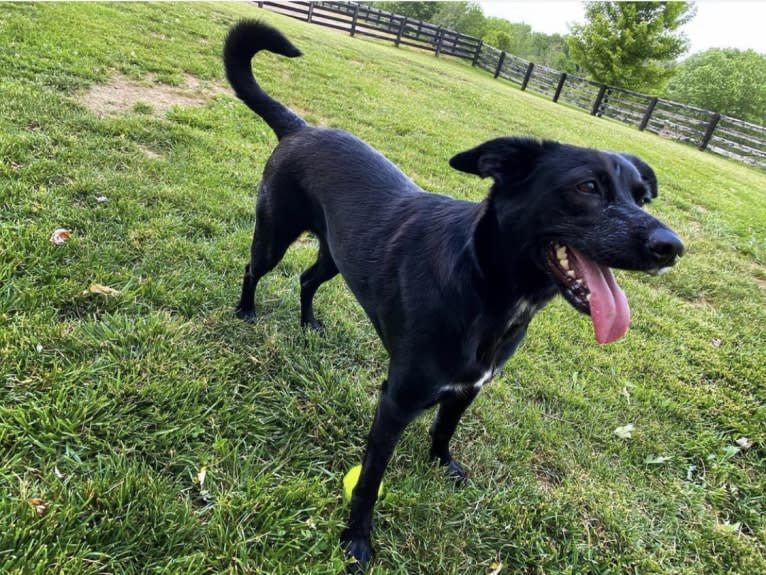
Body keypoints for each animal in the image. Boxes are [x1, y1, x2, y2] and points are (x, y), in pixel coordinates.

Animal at [222, 21, 684, 572]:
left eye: (642, 196)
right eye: (587, 187)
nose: (672, 247)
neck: (488, 287)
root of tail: (301, 128)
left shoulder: (468, 388)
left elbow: (444, 429)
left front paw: (442, 465)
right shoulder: (396, 400)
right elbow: (370, 482)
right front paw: (357, 541)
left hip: (337, 252)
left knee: (307, 280)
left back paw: (308, 324)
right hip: (274, 234)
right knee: (254, 269)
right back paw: (246, 312)